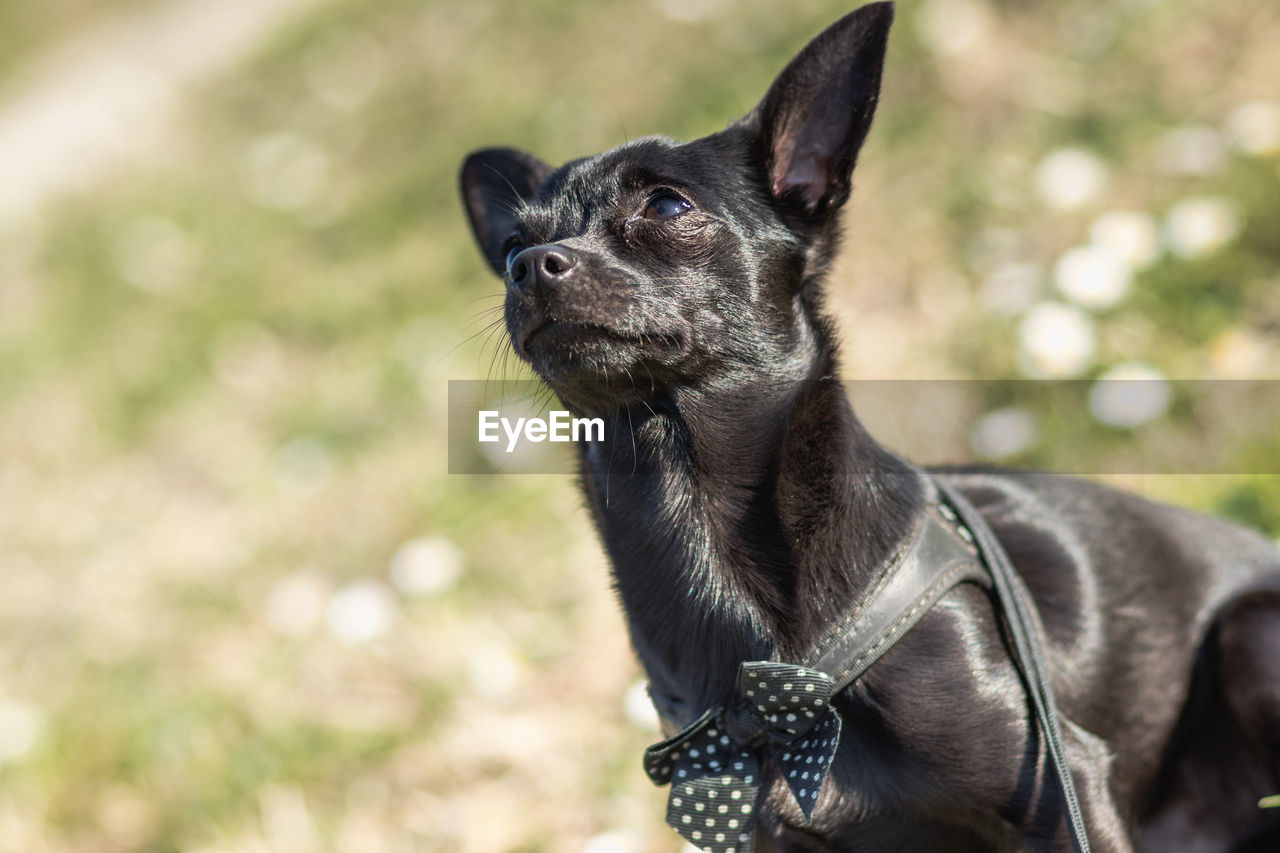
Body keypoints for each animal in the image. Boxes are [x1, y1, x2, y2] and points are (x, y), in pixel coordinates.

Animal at [460, 3, 1280, 845]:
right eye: (514, 243)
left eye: (665, 206)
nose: (531, 266)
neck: (687, 509)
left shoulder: (1068, 785)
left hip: (1255, 632)